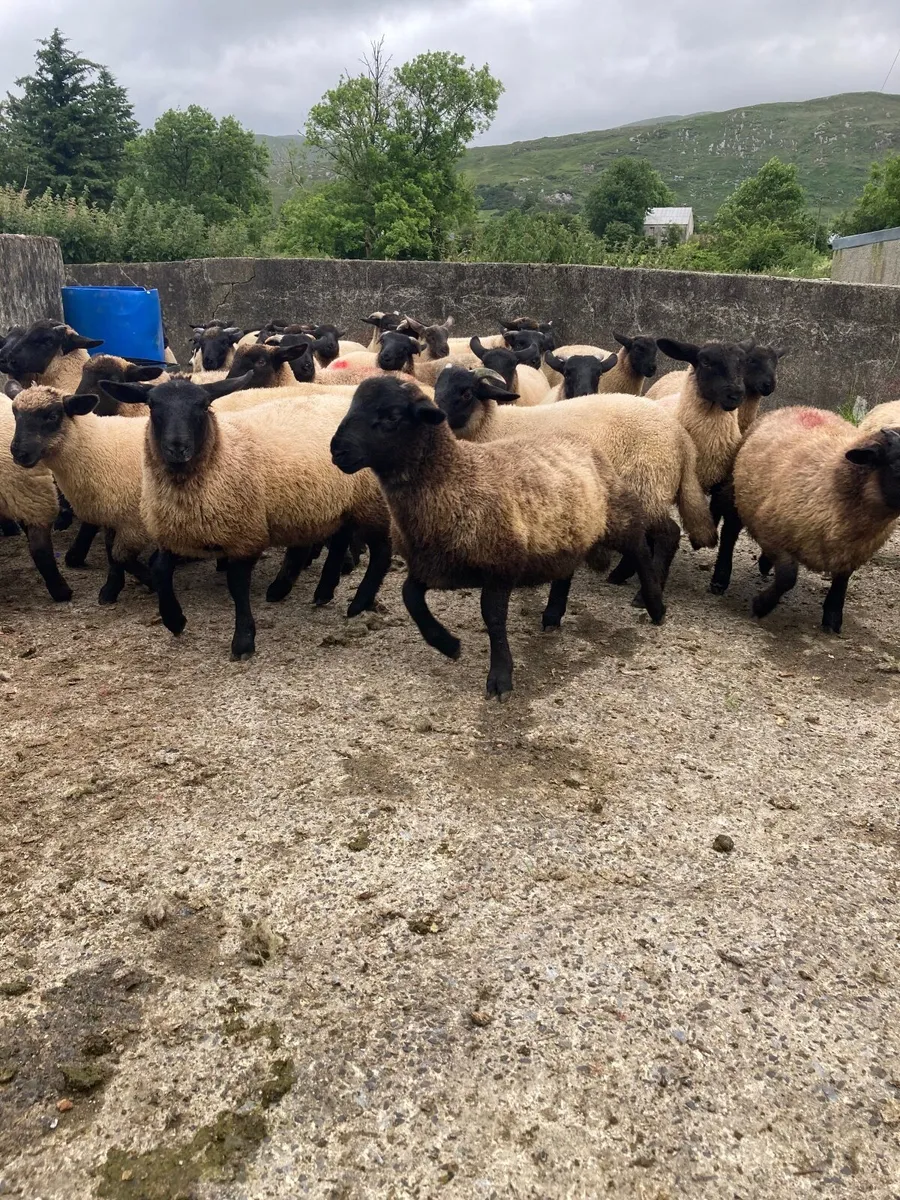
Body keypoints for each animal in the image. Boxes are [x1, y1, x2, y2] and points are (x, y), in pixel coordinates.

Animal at [97, 377, 393, 659]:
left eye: (203, 406)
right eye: (152, 405)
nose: (178, 448)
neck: (220, 455)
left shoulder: (243, 534)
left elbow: (237, 586)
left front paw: (243, 641)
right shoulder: (176, 531)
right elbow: (159, 570)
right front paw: (174, 620)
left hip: (371, 502)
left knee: (381, 552)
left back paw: (358, 603)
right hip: (337, 503)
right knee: (340, 539)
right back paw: (318, 591)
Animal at [330, 375, 665, 700]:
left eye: (392, 416)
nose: (337, 450)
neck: (454, 478)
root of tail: (580, 441)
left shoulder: (500, 565)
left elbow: (492, 618)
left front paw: (500, 676)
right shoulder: (433, 565)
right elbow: (409, 596)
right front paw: (448, 645)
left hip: (618, 514)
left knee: (639, 548)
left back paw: (655, 606)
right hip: (566, 530)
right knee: (566, 570)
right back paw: (552, 614)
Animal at [434, 365, 716, 600]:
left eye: (466, 393)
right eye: (437, 388)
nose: (434, 419)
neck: (494, 426)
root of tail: (681, 437)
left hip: (650, 485)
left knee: (668, 535)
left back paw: (644, 593)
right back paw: (619, 576)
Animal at [708, 407, 900, 633]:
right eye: (897, 464)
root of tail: (799, 407)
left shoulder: (852, 552)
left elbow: (842, 582)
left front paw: (833, 618)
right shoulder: (774, 535)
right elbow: (787, 577)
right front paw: (761, 606)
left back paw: (764, 564)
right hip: (736, 493)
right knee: (729, 534)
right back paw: (720, 579)